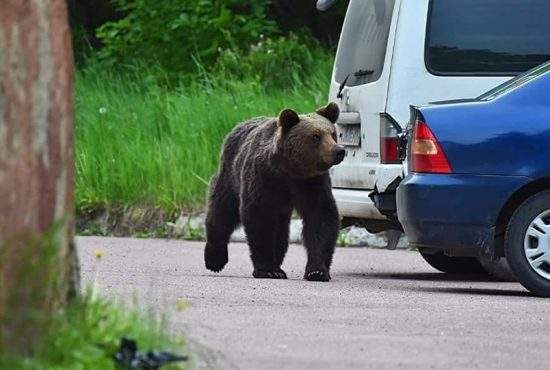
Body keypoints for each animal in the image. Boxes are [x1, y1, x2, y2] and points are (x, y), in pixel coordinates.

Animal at [205, 101, 348, 280]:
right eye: (316, 136)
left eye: (333, 133)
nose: (339, 151)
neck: (290, 170)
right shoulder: (263, 179)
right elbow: (260, 220)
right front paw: (267, 269)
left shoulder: (312, 184)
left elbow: (321, 219)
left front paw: (317, 271)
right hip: (230, 176)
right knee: (222, 213)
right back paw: (214, 260)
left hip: (281, 208)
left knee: (281, 232)